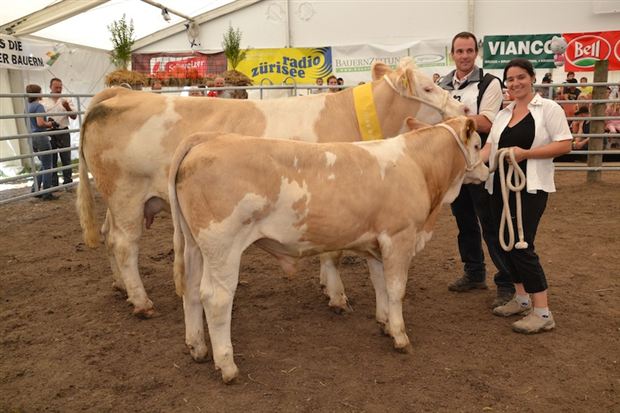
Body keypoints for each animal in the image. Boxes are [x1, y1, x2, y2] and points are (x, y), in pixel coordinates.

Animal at [77, 57, 466, 318]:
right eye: (428, 87)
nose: (463, 110)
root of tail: (117, 95)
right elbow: (333, 253)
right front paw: (336, 296)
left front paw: (326, 286)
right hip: (127, 195)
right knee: (125, 244)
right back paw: (142, 302)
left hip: (121, 200)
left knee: (109, 235)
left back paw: (121, 288)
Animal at [169, 116, 488, 383]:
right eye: (476, 144)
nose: (487, 170)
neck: (416, 166)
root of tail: (209, 138)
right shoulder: (400, 237)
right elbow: (396, 289)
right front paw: (400, 336)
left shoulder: (377, 245)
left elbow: (381, 285)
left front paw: (384, 322)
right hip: (223, 247)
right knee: (216, 298)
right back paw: (227, 366)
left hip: (195, 246)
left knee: (191, 290)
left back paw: (197, 347)